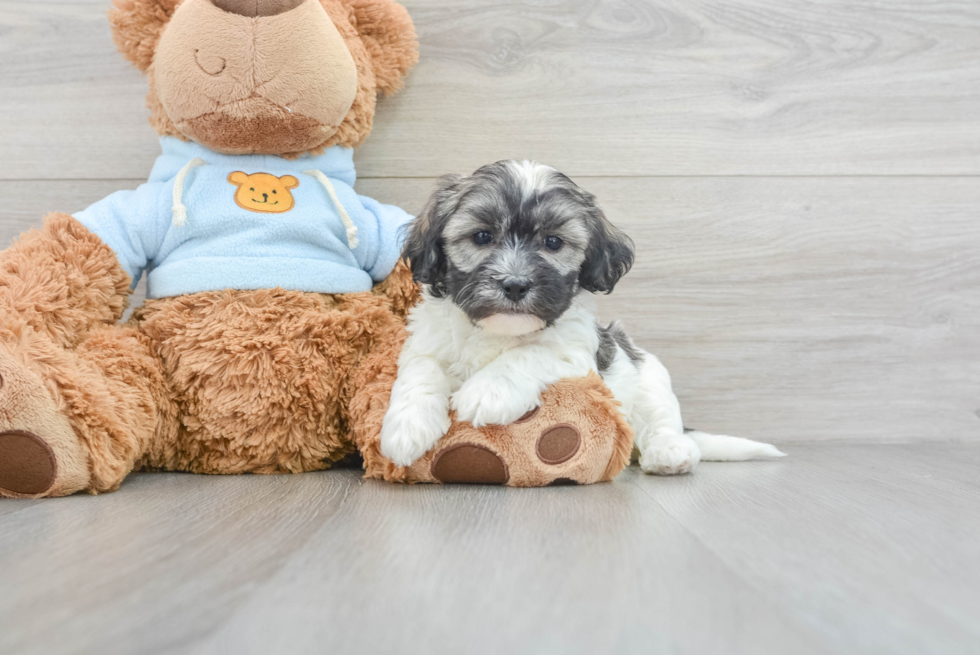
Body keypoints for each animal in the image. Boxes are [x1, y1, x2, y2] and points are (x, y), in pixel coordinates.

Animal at [378, 161, 784, 474]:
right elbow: (420, 371)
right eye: (481, 236)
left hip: (647, 374)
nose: (515, 284)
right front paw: (406, 427)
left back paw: (670, 453)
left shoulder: (576, 354)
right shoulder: (426, 342)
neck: (500, 333)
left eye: (553, 243)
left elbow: (530, 353)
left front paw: (487, 391)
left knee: (660, 418)